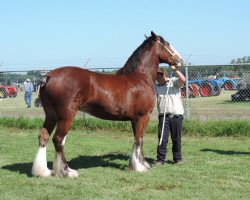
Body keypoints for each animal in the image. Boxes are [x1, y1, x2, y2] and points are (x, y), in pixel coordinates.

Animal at [32, 30, 183, 177]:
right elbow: (139, 139)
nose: (179, 60)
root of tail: (48, 76)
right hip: (66, 116)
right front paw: (139, 167)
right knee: (59, 139)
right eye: (167, 44)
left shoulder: (134, 119)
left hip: (51, 115)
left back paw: (43, 171)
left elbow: (138, 139)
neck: (140, 77)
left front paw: (141, 164)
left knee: (44, 136)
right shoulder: (143, 116)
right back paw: (66, 171)